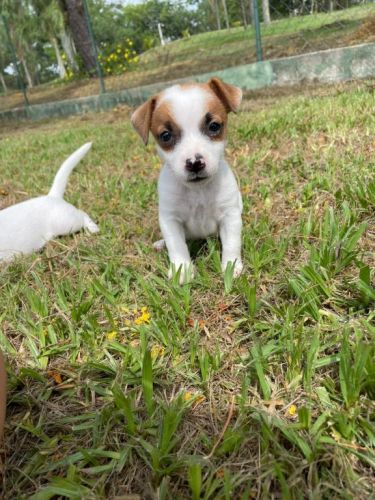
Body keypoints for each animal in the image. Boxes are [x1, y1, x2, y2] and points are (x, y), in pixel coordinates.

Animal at [132, 76, 244, 284]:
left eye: (214, 126)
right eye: (165, 136)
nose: (194, 163)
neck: (198, 191)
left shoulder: (230, 216)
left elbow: (232, 243)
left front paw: (231, 267)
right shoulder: (170, 220)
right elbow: (176, 246)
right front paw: (181, 269)